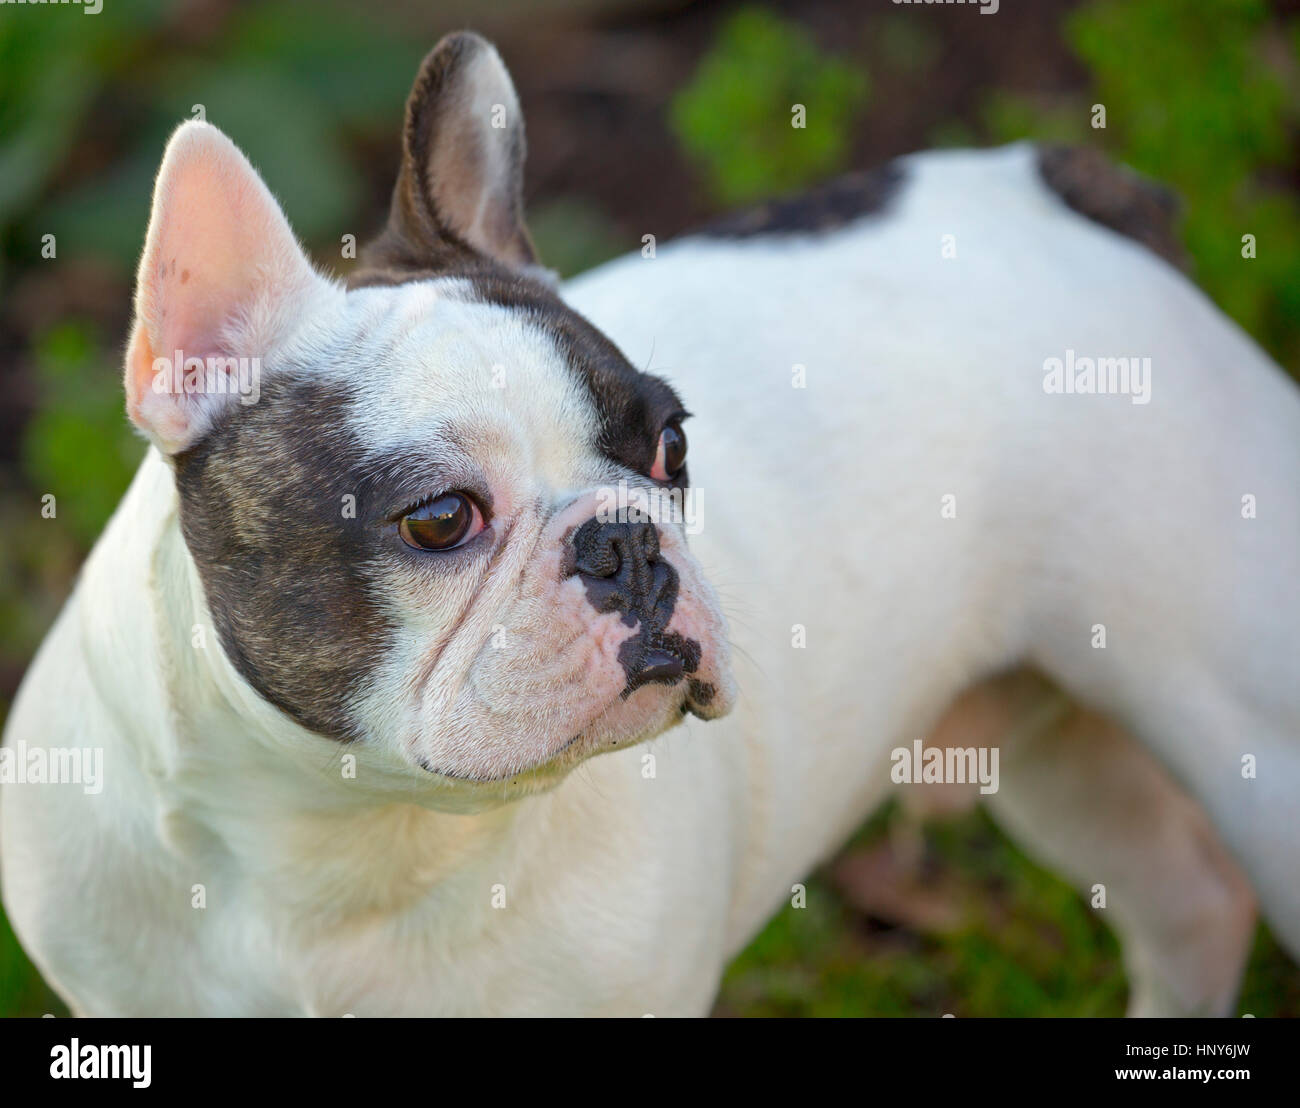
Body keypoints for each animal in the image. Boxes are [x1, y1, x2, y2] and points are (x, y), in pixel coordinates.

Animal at [0, 30, 1294, 1019]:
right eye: (438, 519)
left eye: (670, 444)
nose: (624, 542)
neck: (342, 835)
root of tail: (1051, 194)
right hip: (1053, 737)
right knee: (1186, 899)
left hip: (1249, 734)